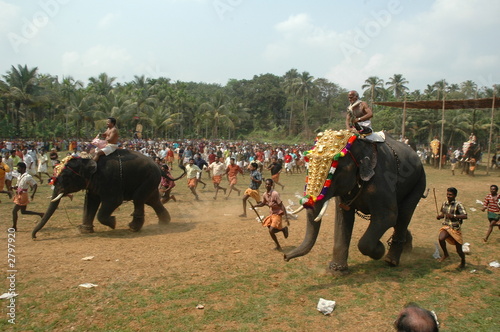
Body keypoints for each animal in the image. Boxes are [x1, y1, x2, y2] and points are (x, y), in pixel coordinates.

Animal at [32, 150, 175, 239]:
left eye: (66, 177)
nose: (34, 237)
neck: (88, 160)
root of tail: (158, 166)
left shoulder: (110, 179)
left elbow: (114, 201)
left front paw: (113, 222)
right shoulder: (93, 185)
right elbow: (90, 202)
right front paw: (85, 230)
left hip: (148, 178)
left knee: (138, 199)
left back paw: (133, 228)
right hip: (151, 181)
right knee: (152, 200)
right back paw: (164, 222)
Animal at [286, 130, 426, 274]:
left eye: (336, 168)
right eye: (308, 164)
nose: (285, 257)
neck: (359, 142)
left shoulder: (382, 180)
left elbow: (387, 217)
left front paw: (379, 249)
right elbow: (343, 218)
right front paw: (336, 271)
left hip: (419, 181)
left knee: (404, 214)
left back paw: (391, 260)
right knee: (399, 219)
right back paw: (406, 249)